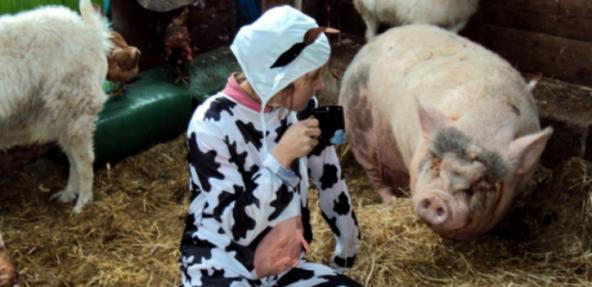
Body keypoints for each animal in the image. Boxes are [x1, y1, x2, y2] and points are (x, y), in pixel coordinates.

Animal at [0, 0, 112, 212]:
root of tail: (91, 31)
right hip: (62, 116)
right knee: (73, 158)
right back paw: (68, 195)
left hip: (76, 107)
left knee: (84, 160)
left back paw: (82, 204)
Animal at [340, 24, 552, 241]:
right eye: (436, 161)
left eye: (483, 183)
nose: (437, 199)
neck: (485, 123)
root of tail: (376, 40)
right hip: (357, 127)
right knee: (374, 174)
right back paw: (391, 200)